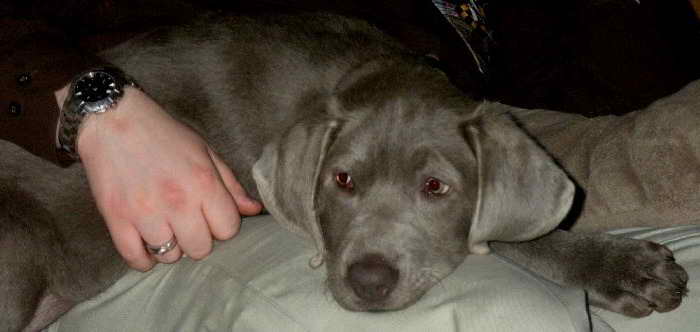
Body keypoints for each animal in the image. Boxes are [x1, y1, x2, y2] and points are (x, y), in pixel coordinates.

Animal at [0, 13, 688, 332]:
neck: (369, 69)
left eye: (435, 187)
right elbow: (523, 238)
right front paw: (620, 265)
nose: (369, 281)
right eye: (343, 181)